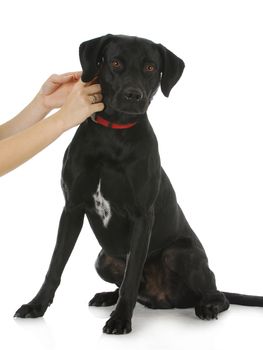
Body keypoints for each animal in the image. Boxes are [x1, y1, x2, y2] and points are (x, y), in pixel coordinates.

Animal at [14, 34, 263, 334]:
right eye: (115, 62)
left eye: (150, 68)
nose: (133, 95)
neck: (113, 137)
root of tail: (165, 300)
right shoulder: (72, 208)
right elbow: (55, 265)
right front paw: (36, 305)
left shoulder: (142, 216)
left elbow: (131, 278)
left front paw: (121, 319)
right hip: (103, 259)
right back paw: (106, 296)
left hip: (181, 253)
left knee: (216, 294)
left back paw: (207, 307)